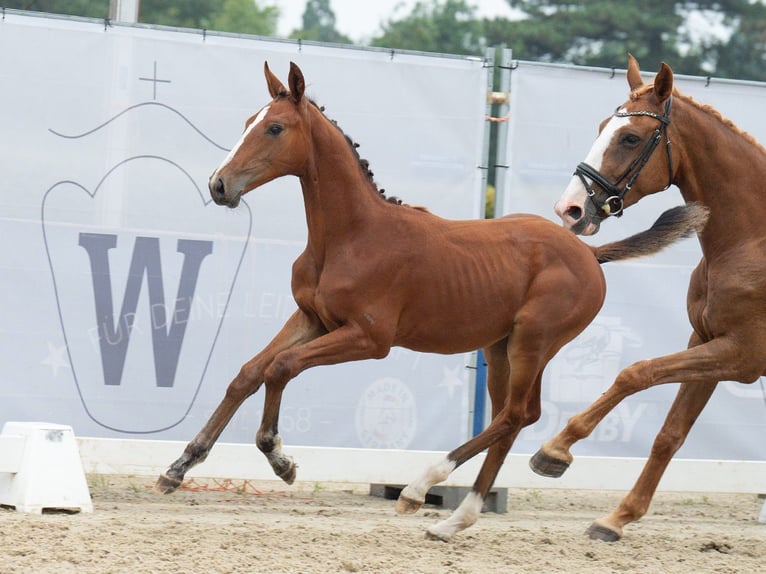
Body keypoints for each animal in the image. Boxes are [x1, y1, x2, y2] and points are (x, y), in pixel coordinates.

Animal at [154, 63, 708, 544]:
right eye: (248, 122)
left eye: (273, 128)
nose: (219, 185)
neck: (350, 235)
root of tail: (589, 253)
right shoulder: (312, 318)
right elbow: (248, 373)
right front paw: (178, 468)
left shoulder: (368, 338)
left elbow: (281, 367)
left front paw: (279, 458)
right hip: (501, 347)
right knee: (513, 416)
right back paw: (455, 518)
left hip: (535, 340)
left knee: (515, 415)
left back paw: (423, 488)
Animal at [536, 55, 766, 544]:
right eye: (602, 126)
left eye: (630, 138)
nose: (570, 210)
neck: (752, 242)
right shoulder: (708, 343)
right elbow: (670, 432)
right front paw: (617, 517)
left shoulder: (742, 355)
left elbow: (635, 373)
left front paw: (556, 448)